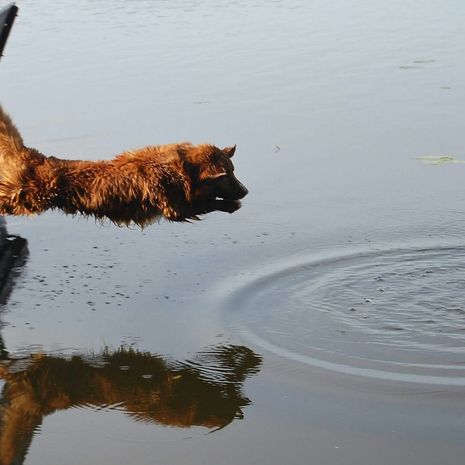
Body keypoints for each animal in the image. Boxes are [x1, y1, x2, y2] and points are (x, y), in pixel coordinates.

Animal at [0, 106, 248, 227]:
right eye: (226, 176)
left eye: (233, 172)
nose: (246, 191)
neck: (183, 169)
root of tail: (36, 158)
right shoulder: (174, 208)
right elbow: (206, 203)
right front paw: (230, 204)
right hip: (21, 199)